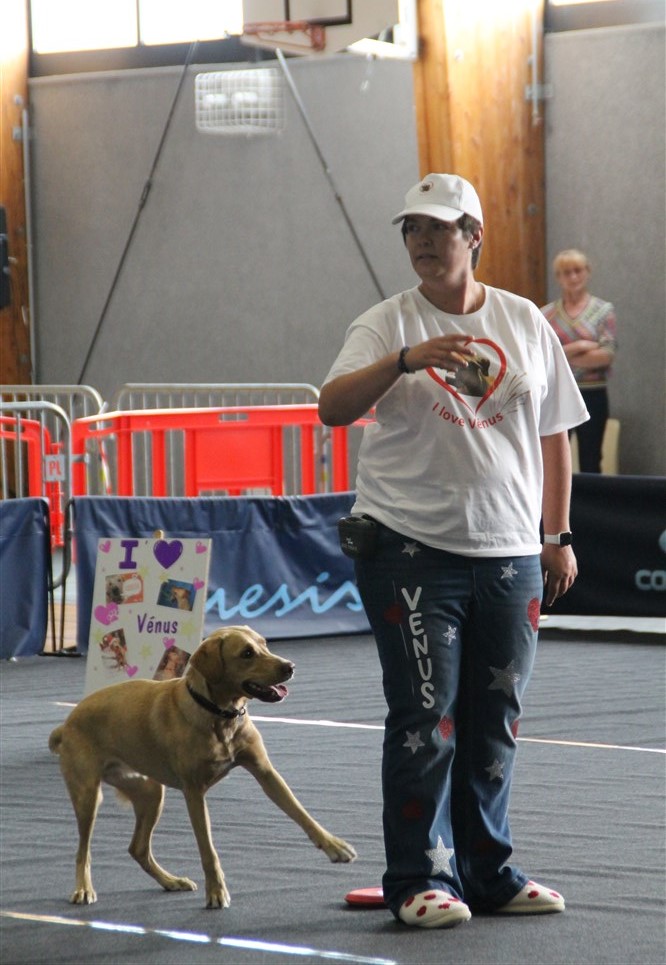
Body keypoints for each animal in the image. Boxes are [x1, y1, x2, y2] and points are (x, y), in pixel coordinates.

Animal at [49, 626, 356, 908]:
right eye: (247, 653)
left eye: (265, 644)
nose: (289, 667)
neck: (219, 714)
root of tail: (67, 722)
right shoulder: (194, 792)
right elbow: (208, 849)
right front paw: (216, 892)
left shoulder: (265, 772)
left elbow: (300, 812)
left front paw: (335, 846)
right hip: (88, 795)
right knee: (83, 851)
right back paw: (84, 888)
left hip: (150, 793)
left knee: (138, 849)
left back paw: (171, 881)